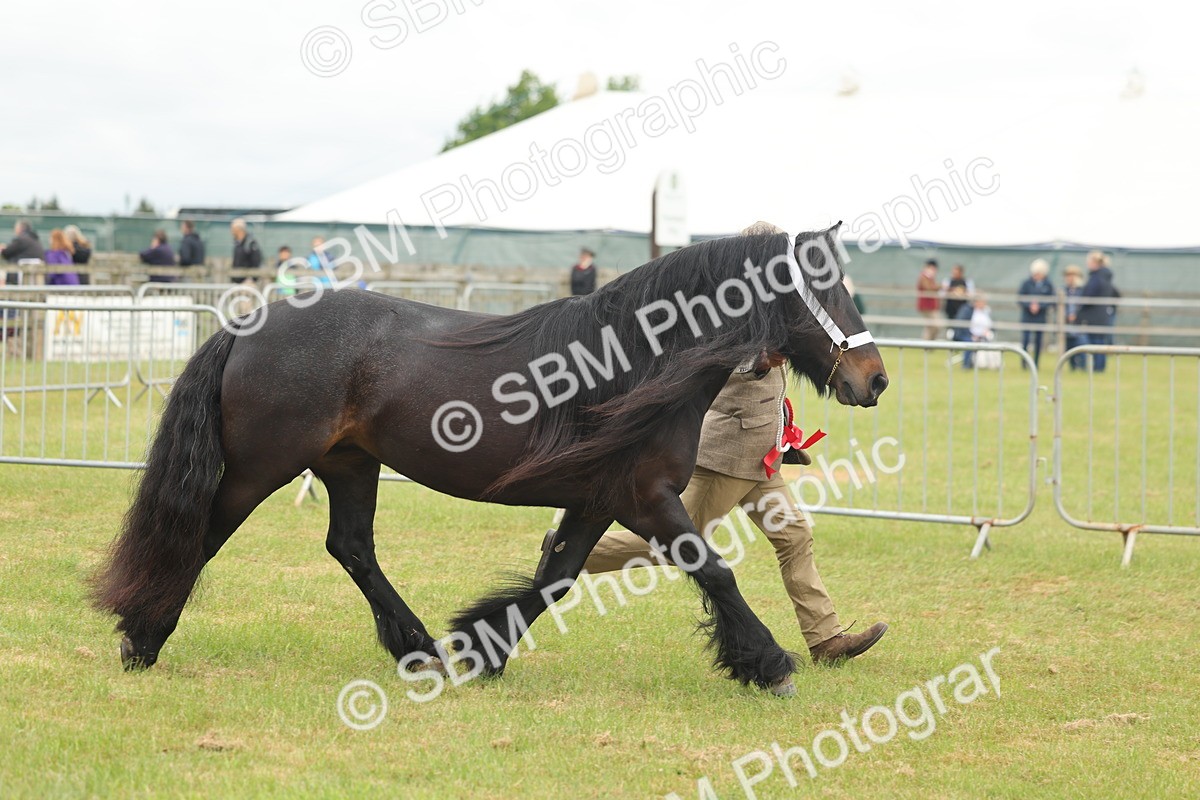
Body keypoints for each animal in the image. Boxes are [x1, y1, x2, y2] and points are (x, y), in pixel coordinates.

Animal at [90, 222, 888, 694]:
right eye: (822, 287)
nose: (873, 379)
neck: (636, 361)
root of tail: (249, 325)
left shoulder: (598, 500)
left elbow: (555, 578)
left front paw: (483, 648)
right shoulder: (647, 497)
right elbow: (714, 569)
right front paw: (771, 665)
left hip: (349, 464)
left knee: (350, 546)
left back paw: (419, 650)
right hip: (261, 468)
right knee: (202, 535)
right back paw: (142, 638)